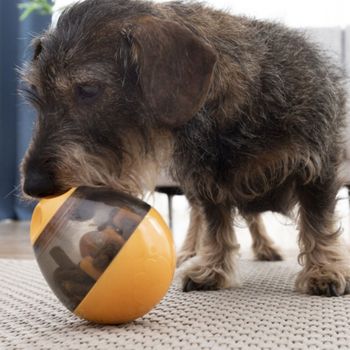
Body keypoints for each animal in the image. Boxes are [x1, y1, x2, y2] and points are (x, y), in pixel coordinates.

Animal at [20, 0, 348, 296]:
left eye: (88, 89)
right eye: (36, 94)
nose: (33, 185)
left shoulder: (317, 168)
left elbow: (317, 221)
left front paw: (325, 270)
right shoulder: (207, 183)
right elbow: (215, 225)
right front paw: (212, 269)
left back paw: (266, 247)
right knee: (202, 217)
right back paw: (190, 251)